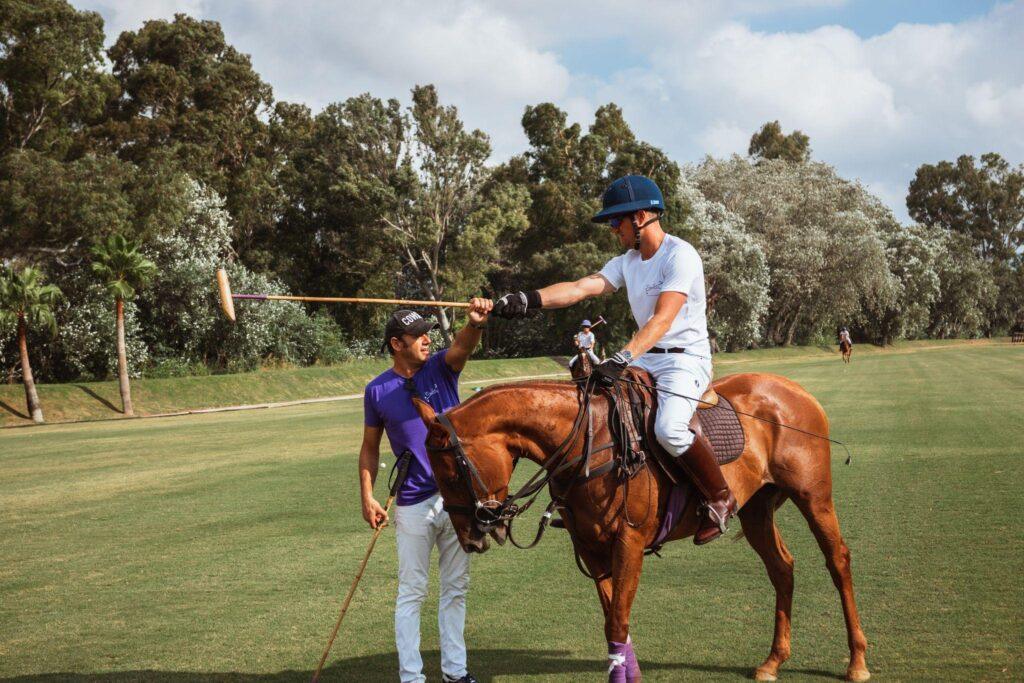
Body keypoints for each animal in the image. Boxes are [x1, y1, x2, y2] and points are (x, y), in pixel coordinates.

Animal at [415, 374, 872, 683]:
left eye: (450, 474)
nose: (470, 538)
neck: (587, 440)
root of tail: (798, 390)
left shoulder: (629, 541)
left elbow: (618, 621)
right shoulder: (592, 547)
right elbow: (611, 619)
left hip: (813, 496)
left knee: (838, 560)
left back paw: (857, 661)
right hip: (756, 508)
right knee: (782, 567)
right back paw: (774, 660)